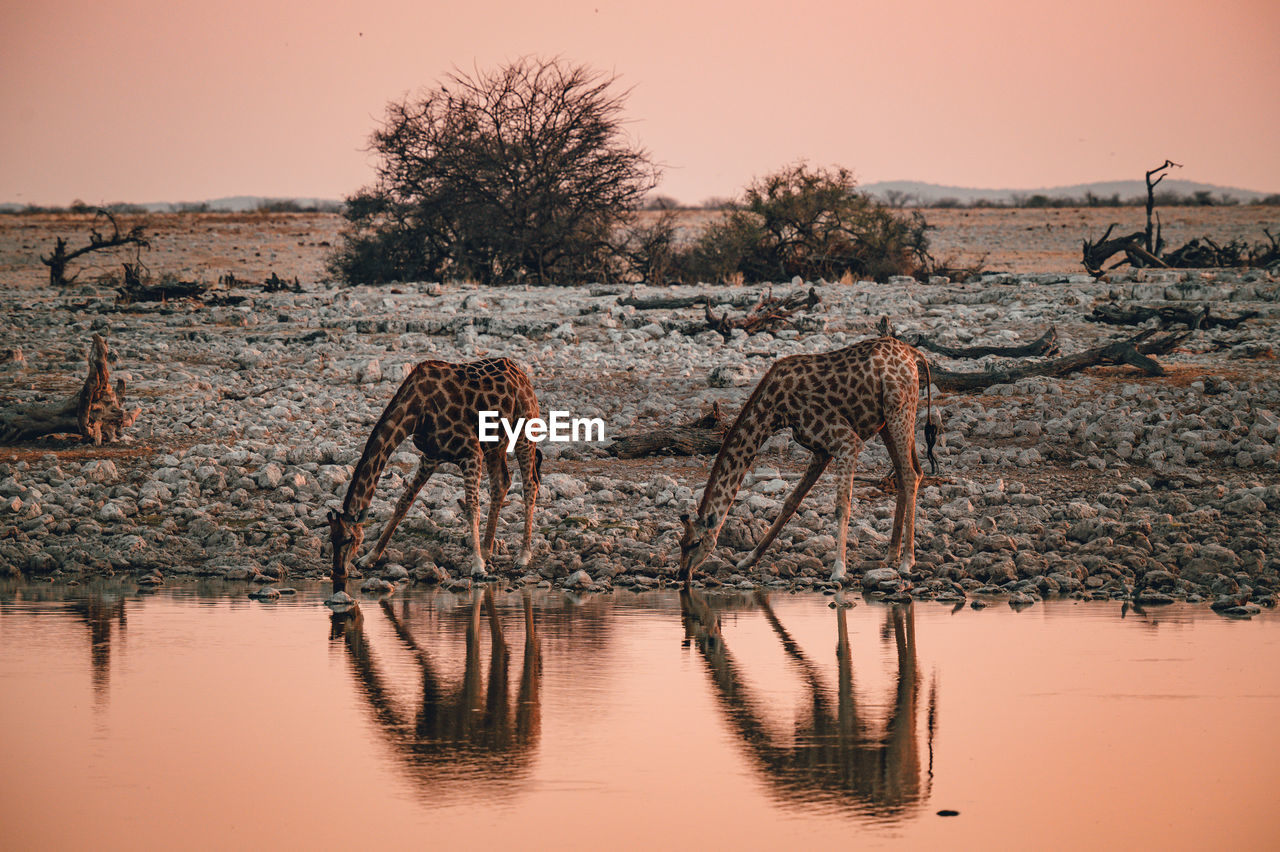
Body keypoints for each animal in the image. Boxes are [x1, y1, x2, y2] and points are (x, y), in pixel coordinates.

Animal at [327, 355, 542, 591]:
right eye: (331, 539)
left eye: (348, 539)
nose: (338, 572)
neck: (416, 413)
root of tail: (521, 375)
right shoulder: (430, 457)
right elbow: (403, 503)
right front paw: (370, 557)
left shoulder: (471, 452)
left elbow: (472, 508)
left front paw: (477, 567)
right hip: (496, 443)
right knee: (501, 483)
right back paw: (487, 550)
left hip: (524, 431)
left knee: (530, 484)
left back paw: (522, 556)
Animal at [675, 335, 936, 588]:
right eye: (681, 542)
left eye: (696, 542)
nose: (682, 574)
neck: (774, 411)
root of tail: (913, 354)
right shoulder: (821, 450)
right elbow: (791, 502)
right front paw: (748, 559)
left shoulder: (846, 442)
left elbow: (842, 507)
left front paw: (838, 570)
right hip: (887, 421)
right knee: (908, 472)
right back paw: (891, 555)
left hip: (899, 410)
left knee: (911, 474)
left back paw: (907, 562)